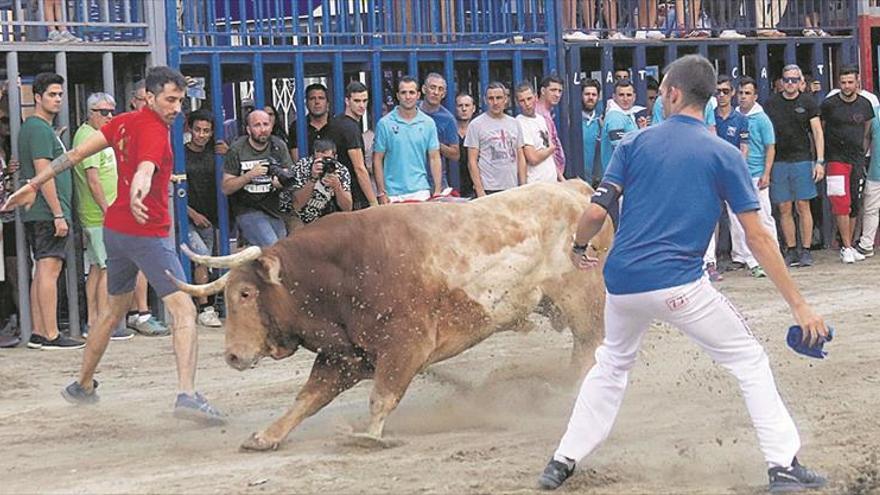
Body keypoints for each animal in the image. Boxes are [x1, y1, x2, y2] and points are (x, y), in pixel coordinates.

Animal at [172, 180, 612, 452]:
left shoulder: (405, 345)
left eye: (246, 293)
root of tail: (578, 192)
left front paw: (367, 437)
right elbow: (306, 399)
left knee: (588, 352)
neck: (340, 271)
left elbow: (381, 396)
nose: (232, 355)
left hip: (584, 304)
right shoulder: (343, 356)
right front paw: (266, 436)